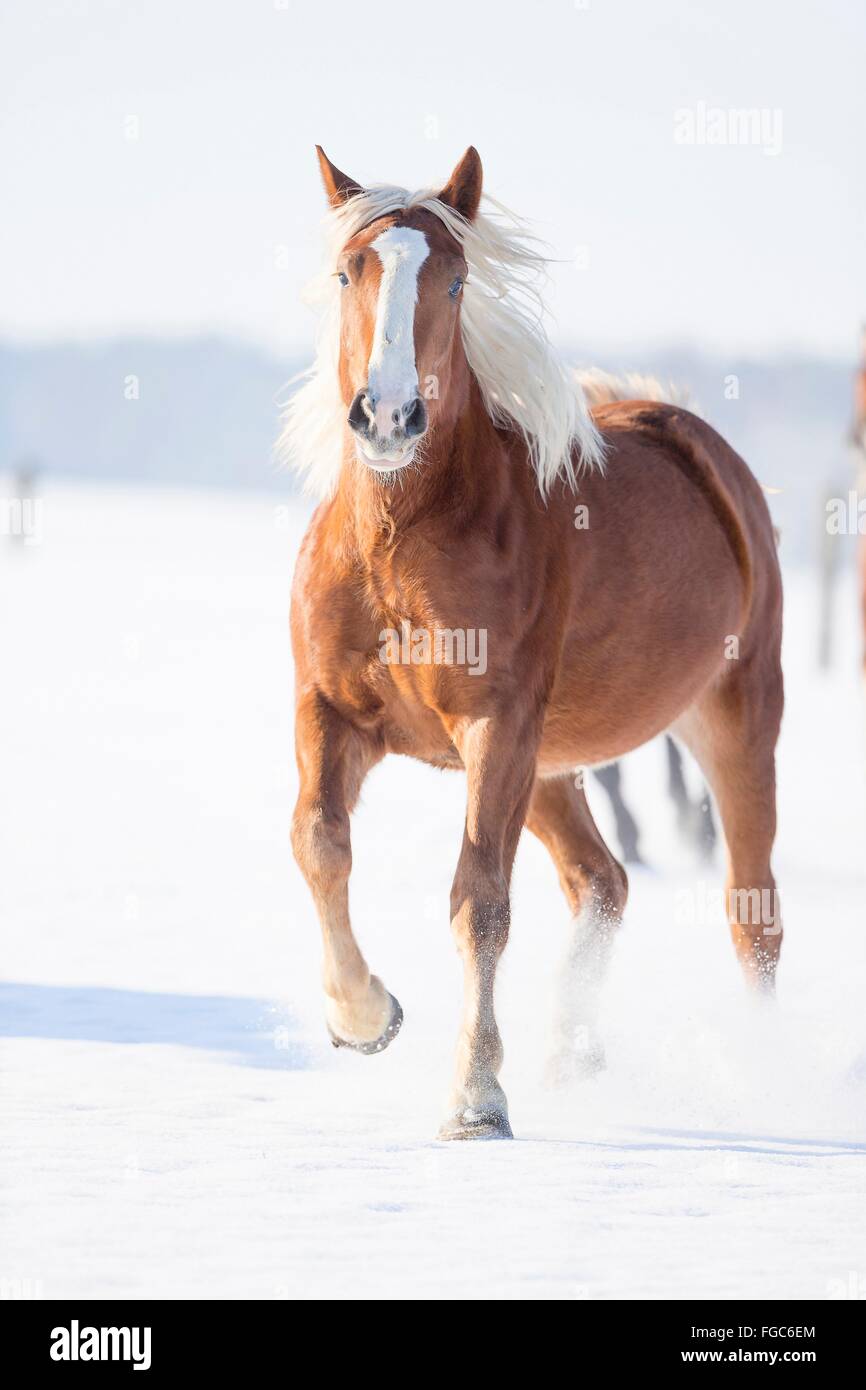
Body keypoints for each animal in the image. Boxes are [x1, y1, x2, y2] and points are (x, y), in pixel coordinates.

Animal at [286, 149, 783, 1139]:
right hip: (553, 766)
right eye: (348, 271)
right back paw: (571, 1057)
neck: (400, 542)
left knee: (752, 917)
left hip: (733, 724)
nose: (388, 417)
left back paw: (758, 1076)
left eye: (455, 277)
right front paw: (364, 1017)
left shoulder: (497, 725)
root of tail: (691, 435)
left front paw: (477, 1099)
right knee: (604, 883)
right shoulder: (331, 711)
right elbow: (320, 842)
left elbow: (479, 899)